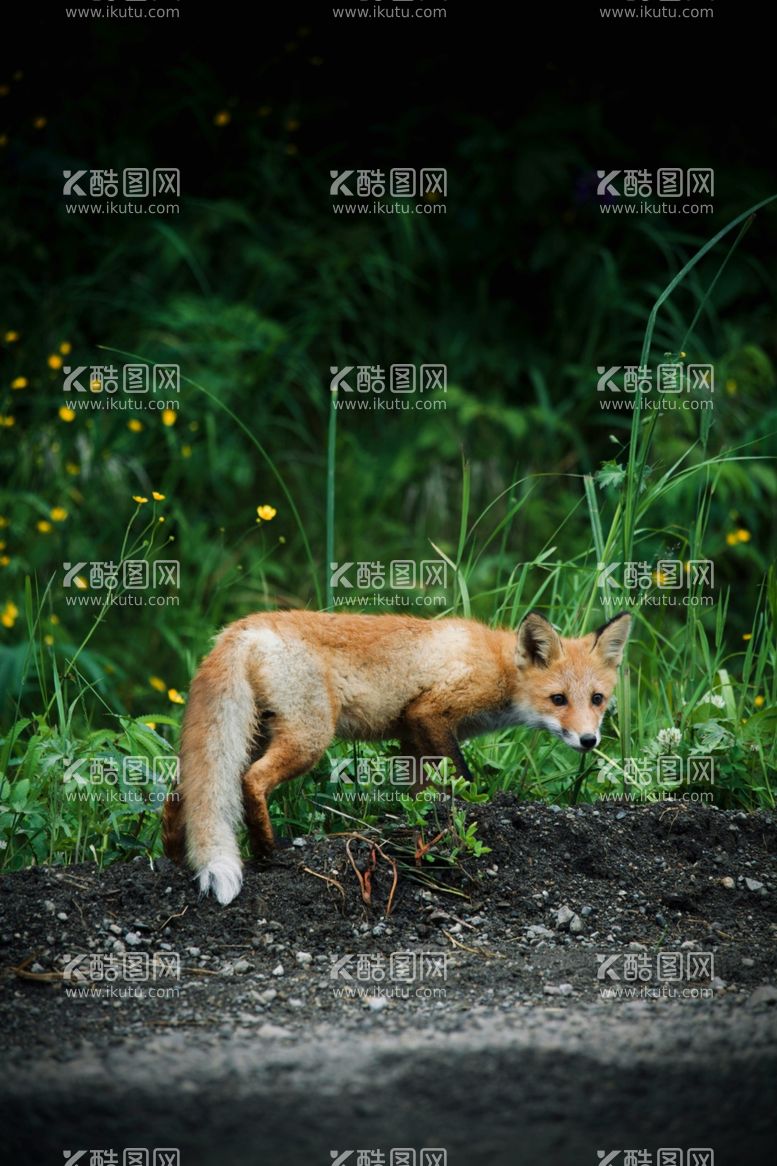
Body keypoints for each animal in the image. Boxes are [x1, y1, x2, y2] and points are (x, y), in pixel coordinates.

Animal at [162, 606, 630, 904]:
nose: (589, 740)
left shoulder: (411, 734)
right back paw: (266, 851)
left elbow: (422, 791)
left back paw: (174, 859)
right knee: (251, 781)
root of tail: (241, 627)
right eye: (558, 699)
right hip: (308, 737)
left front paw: (422, 824)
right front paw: (468, 809)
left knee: (180, 796)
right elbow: (461, 775)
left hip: (251, 735)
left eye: (597, 699)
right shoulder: (430, 711)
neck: (499, 666)